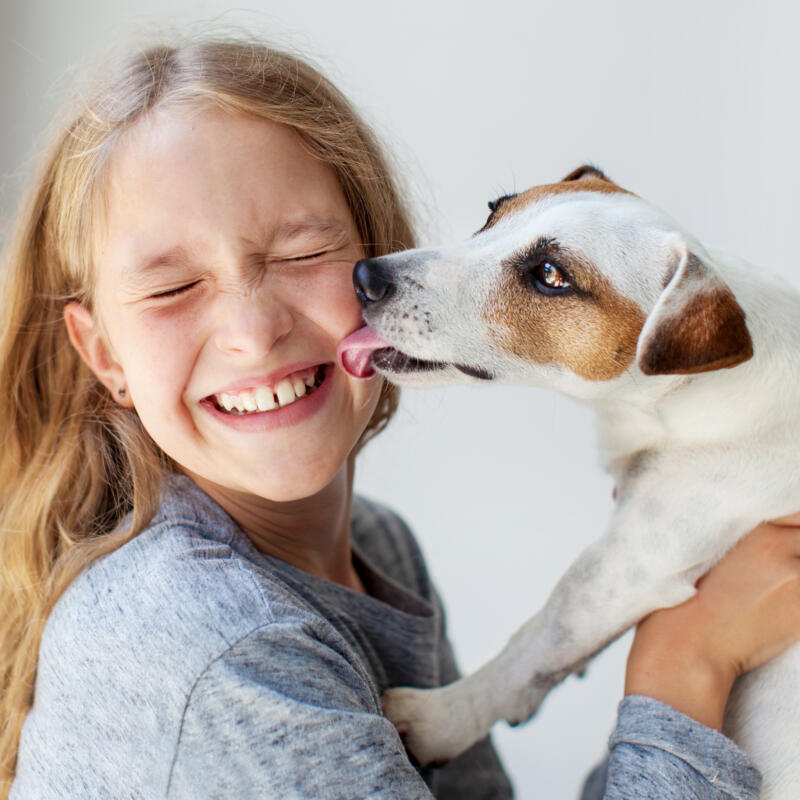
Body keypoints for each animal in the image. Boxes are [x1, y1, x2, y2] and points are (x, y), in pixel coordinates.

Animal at [334, 166, 800, 796]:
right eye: (492, 213)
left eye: (551, 275)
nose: (366, 276)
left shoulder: (628, 565)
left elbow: (537, 640)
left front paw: (443, 718)